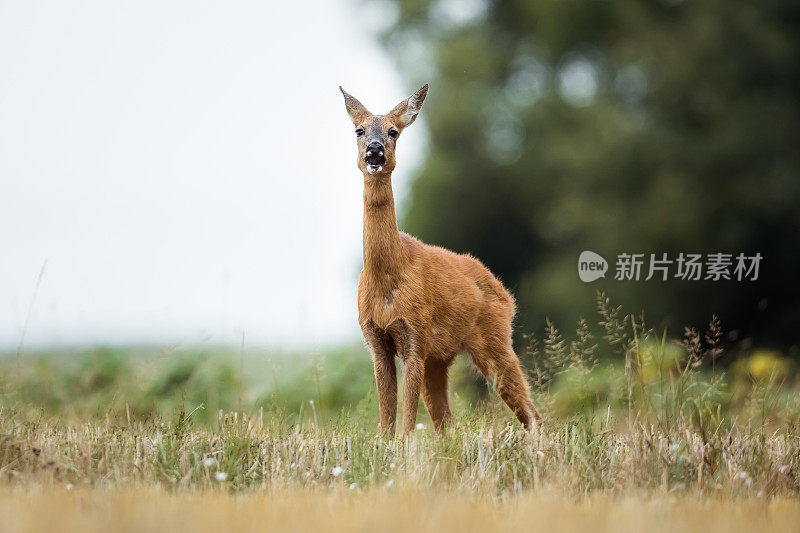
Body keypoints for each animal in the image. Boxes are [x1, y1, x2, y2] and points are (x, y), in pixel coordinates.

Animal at [340, 82, 540, 432]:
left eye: (394, 131)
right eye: (359, 130)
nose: (375, 150)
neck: (387, 277)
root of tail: (504, 291)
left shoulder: (415, 336)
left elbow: (407, 421)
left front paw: (404, 446)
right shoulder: (376, 340)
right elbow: (386, 422)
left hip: (496, 340)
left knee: (531, 412)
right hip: (441, 358)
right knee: (447, 423)